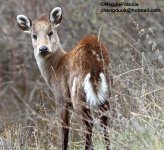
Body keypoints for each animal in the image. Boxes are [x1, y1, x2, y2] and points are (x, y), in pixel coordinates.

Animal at [16, 6, 112, 149]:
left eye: (50, 32)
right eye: (34, 35)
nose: (43, 49)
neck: (56, 68)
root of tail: (93, 64)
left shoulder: (61, 97)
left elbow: (64, 129)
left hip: (78, 96)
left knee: (89, 124)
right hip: (107, 91)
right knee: (104, 121)